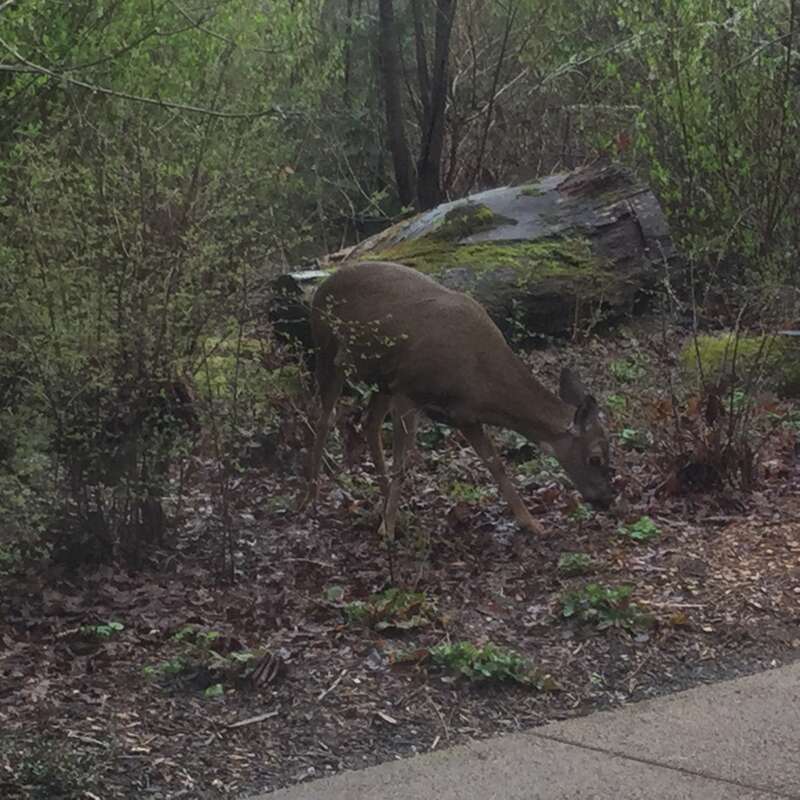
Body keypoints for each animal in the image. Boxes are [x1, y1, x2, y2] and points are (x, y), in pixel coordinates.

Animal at [303, 260, 615, 537]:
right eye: (595, 457)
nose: (608, 499)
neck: (478, 376)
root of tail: (322, 285)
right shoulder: (408, 390)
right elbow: (402, 464)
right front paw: (387, 530)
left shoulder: (465, 415)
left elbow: (495, 464)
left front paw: (532, 524)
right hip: (328, 350)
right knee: (323, 418)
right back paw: (312, 498)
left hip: (381, 378)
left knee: (369, 423)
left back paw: (382, 500)